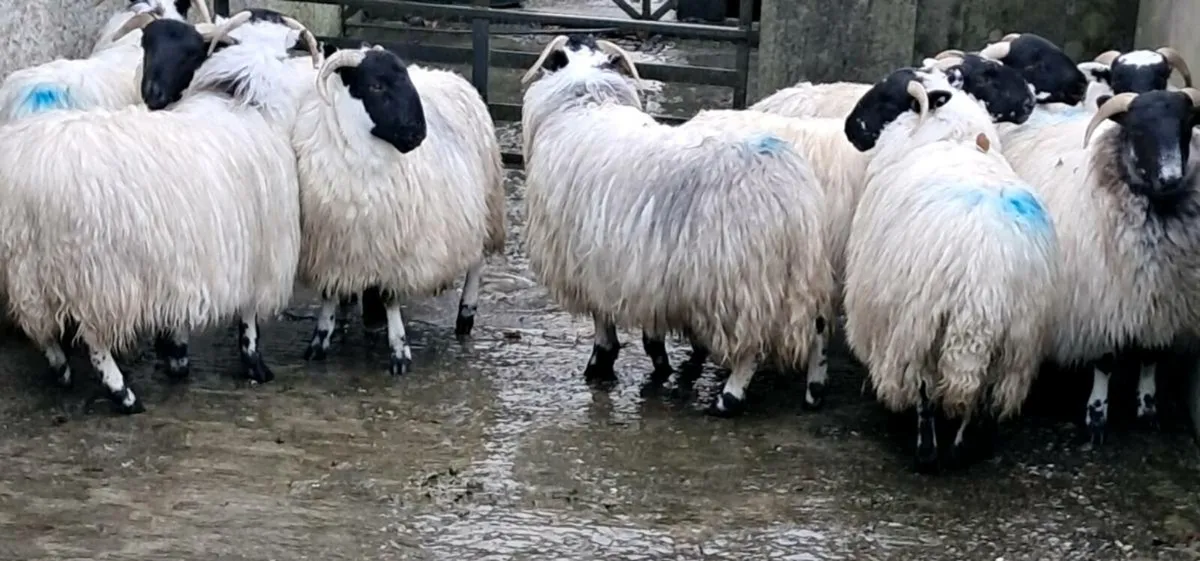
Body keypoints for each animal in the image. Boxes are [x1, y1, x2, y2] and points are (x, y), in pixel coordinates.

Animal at [0, 13, 322, 413]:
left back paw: (61, 370)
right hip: (95, 273)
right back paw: (122, 393)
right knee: (94, 338)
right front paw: (253, 364)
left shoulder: (187, 255)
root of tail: (27, 175)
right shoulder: (258, 250)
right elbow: (248, 316)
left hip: (28, 268)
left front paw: (176, 356)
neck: (243, 100)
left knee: (40, 327)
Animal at [290, 44, 505, 376]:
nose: (418, 135)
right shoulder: (332, 248)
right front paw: (319, 342)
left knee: (476, 263)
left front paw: (399, 351)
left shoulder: (396, 252)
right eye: (376, 86)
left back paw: (465, 316)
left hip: (485, 207)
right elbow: (328, 295)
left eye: (405, 80)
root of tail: (453, 77)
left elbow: (389, 299)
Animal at [520, 34, 833, 415]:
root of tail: (786, 189)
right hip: (801, 272)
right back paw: (815, 391)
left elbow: (604, 324)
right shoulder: (641, 273)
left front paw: (599, 367)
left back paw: (728, 399)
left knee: (751, 346)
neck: (585, 101)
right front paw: (659, 367)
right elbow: (650, 334)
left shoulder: (592, 265)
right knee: (819, 328)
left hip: (737, 282)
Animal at [840, 66, 1057, 471]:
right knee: (979, 398)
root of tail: (982, 284)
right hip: (1012, 343)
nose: (849, 129)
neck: (953, 137)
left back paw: (926, 451)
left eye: (887, 96)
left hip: (919, 326)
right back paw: (963, 449)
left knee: (924, 391)